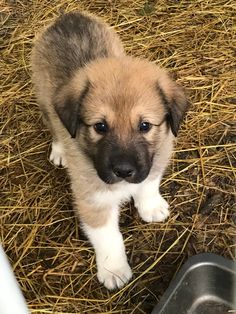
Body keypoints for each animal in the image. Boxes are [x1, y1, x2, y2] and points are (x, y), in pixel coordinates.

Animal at [31, 10, 188, 290]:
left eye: (145, 125)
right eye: (100, 127)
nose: (124, 171)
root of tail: (67, 16)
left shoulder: (155, 161)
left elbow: (148, 184)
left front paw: (150, 206)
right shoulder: (93, 200)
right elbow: (109, 237)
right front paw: (114, 270)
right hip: (44, 101)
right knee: (53, 126)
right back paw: (59, 151)